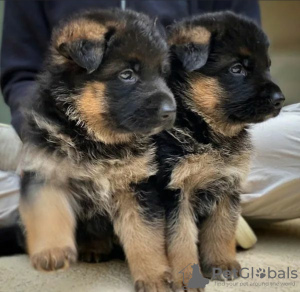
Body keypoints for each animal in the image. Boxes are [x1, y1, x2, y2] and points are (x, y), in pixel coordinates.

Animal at [20, 9, 176, 292]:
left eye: (163, 73)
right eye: (127, 74)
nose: (171, 112)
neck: (93, 136)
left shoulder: (137, 187)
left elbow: (145, 236)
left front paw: (154, 276)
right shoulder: (44, 169)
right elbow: (48, 211)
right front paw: (52, 251)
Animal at [152, 11, 284, 290]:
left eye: (266, 66)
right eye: (237, 69)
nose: (280, 99)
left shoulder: (227, 185)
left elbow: (222, 229)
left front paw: (221, 264)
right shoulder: (175, 191)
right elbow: (180, 238)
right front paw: (187, 276)